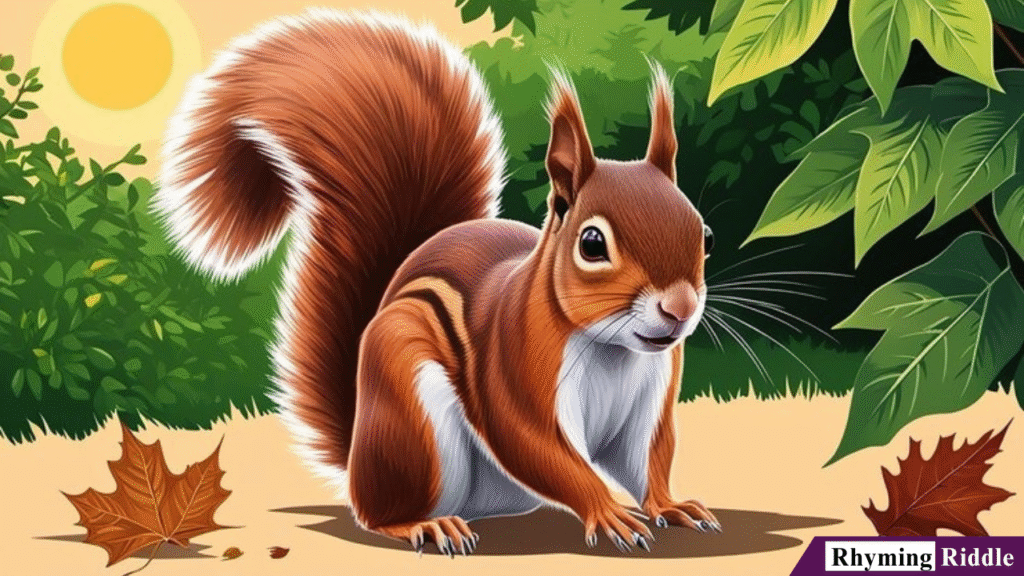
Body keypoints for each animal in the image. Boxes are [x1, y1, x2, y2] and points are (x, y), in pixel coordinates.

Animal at [154, 8, 717, 556]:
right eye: (593, 244)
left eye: (705, 235)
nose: (680, 308)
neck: (613, 349)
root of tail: (358, 453)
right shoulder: (515, 377)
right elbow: (540, 450)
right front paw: (607, 511)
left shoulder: (652, 401)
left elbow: (649, 459)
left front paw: (670, 505)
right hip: (411, 418)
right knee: (377, 515)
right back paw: (426, 525)